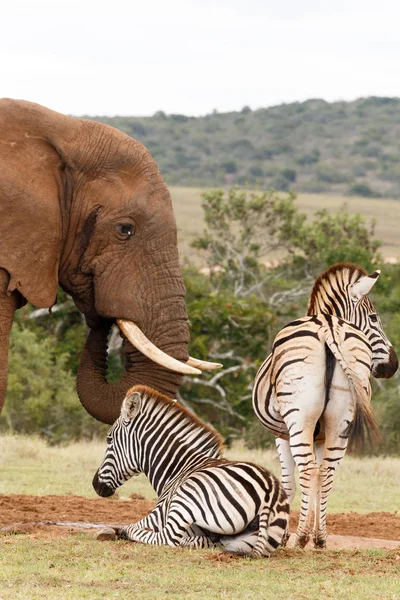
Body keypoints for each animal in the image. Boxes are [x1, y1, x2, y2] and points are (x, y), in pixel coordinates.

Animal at [92, 384, 290, 556]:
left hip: (186, 497)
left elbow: (129, 525)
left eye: (109, 439)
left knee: (166, 538)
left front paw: (108, 531)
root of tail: (269, 492)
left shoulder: (158, 514)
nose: (94, 484)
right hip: (248, 540)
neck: (178, 468)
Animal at [253, 262, 396, 548]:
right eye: (374, 318)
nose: (393, 365)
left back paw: (301, 537)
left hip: (299, 417)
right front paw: (311, 531)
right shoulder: (318, 436)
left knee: (308, 470)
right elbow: (319, 476)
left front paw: (284, 535)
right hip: (341, 419)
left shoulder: (281, 434)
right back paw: (320, 538)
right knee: (327, 471)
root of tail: (327, 325)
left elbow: (289, 483)